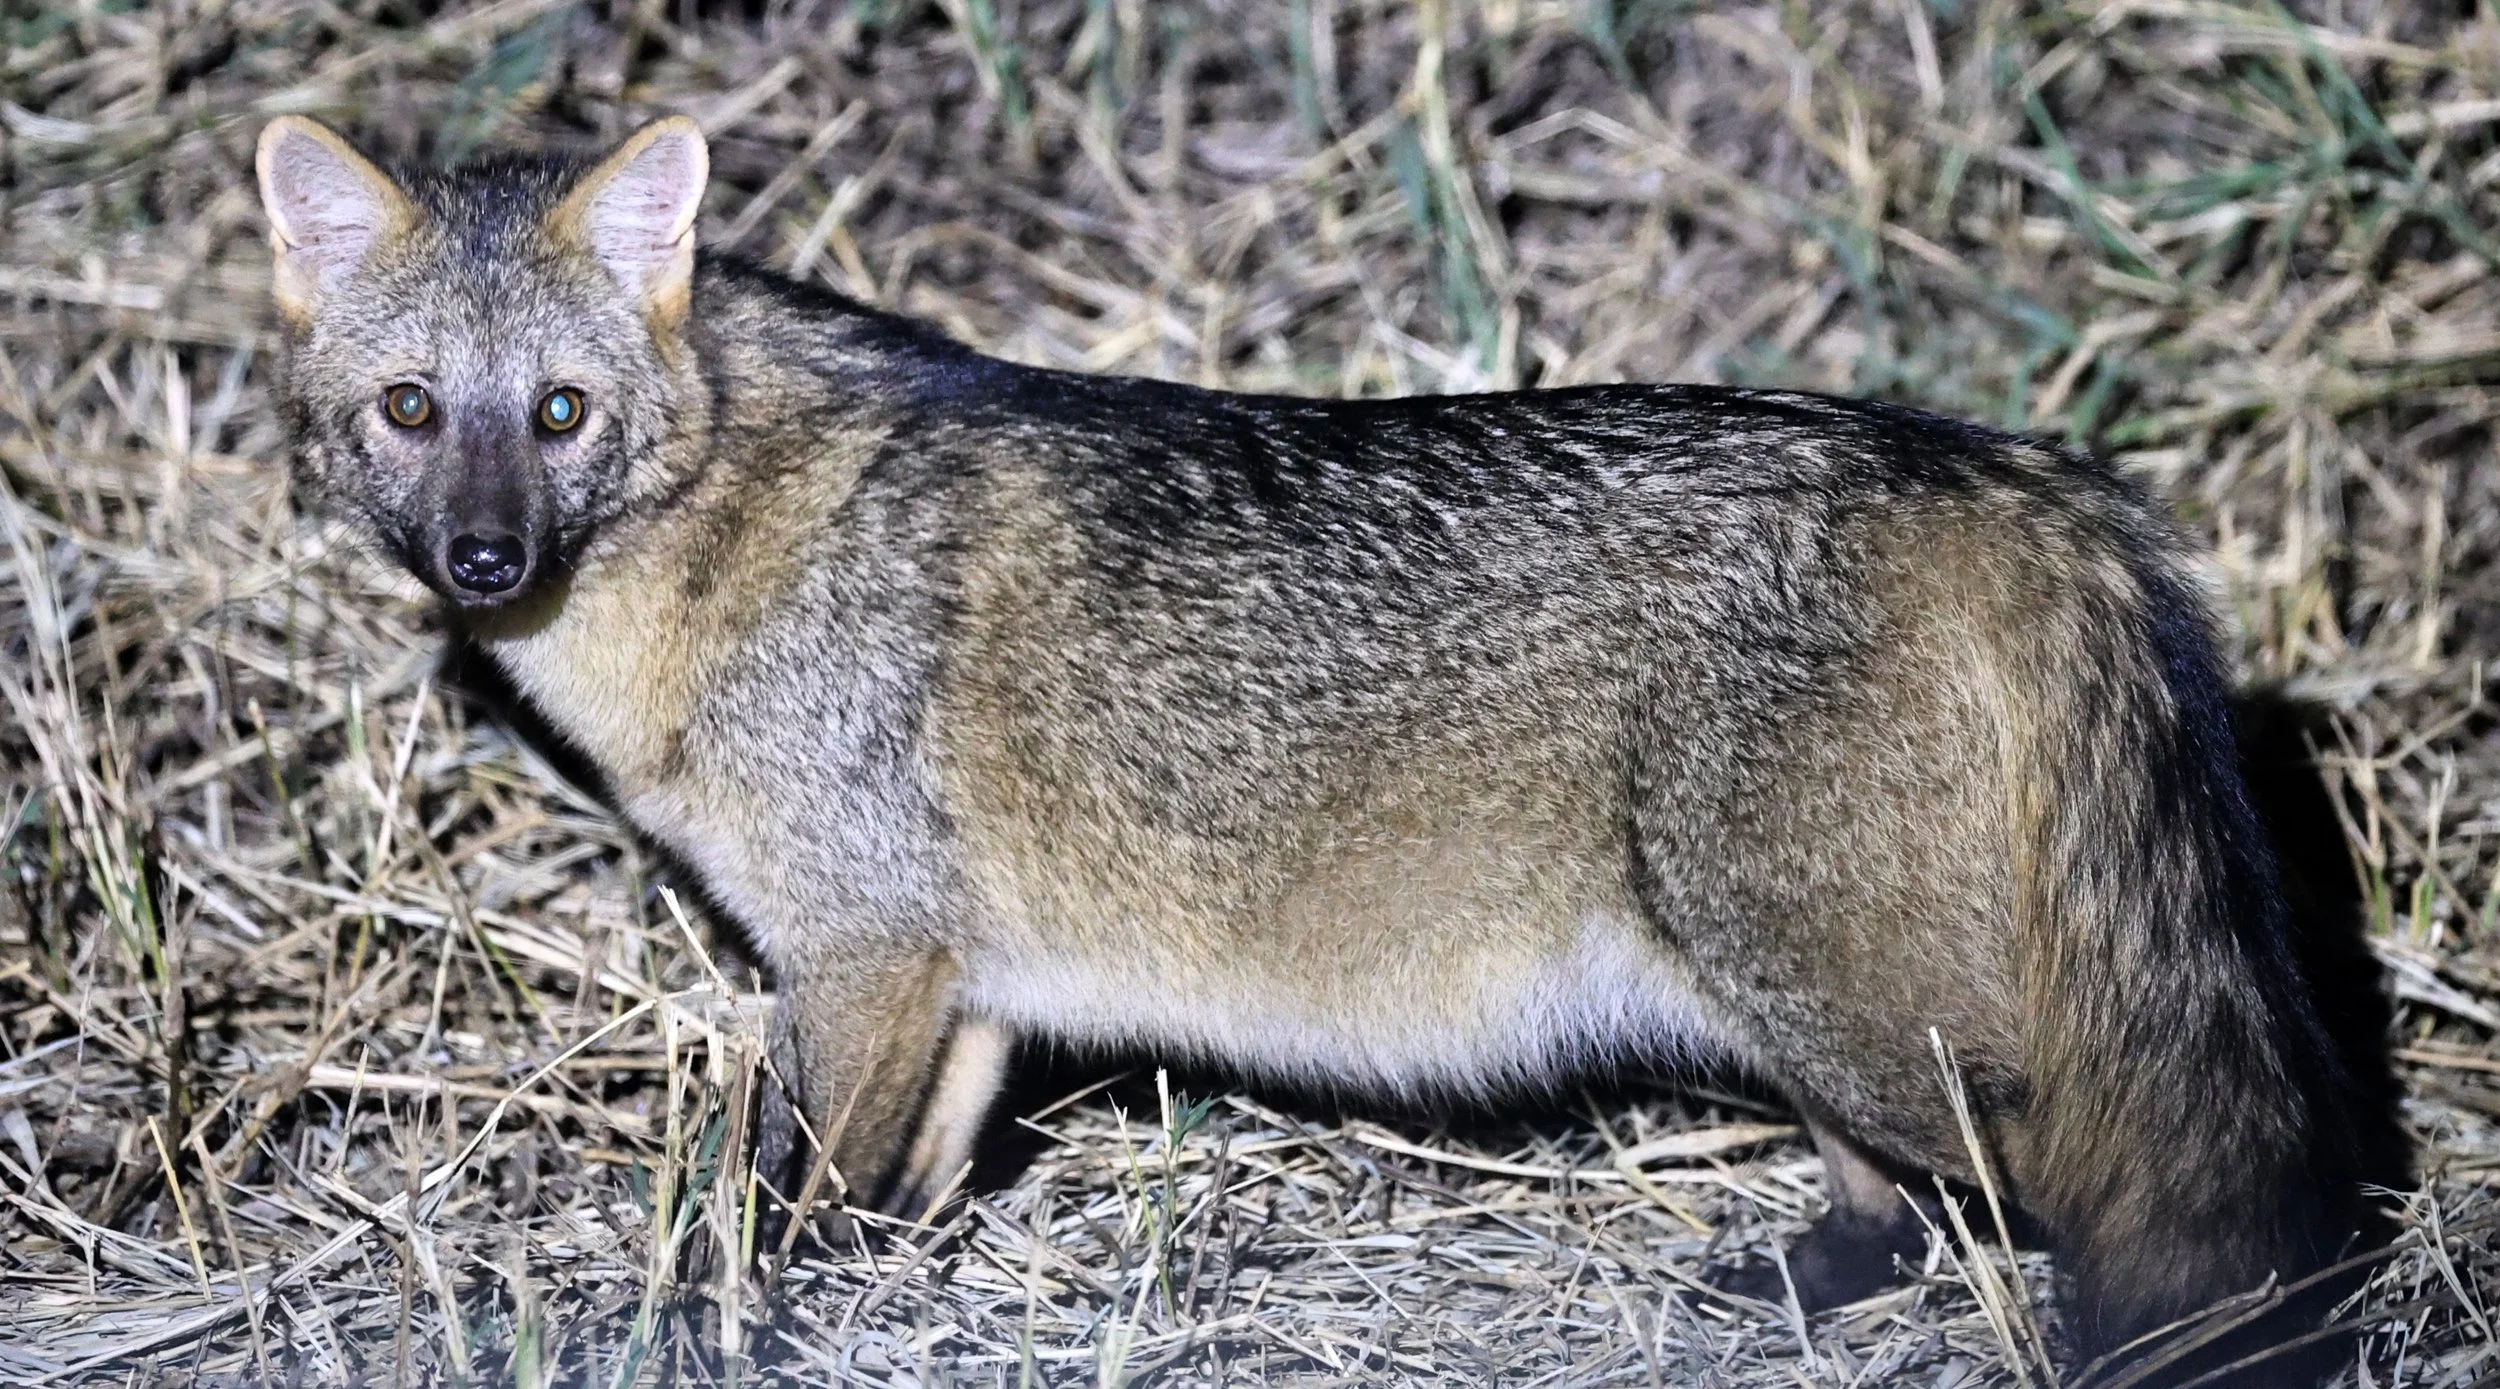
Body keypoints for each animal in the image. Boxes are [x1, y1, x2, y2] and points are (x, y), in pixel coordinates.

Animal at [256, 113, 2395, 1384]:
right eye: (411, 408)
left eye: (556, 411)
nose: (482, 558)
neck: (722, 550)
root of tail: (2012, 470)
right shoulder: (958, 989)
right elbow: (904, 1186)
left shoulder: (859, 958)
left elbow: (774, 1197)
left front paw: (714, 1317)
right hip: (1808, 1011)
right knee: (1902, 1193)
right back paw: (1796, 1280)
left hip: (1881, 1017)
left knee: (2097, 1190)